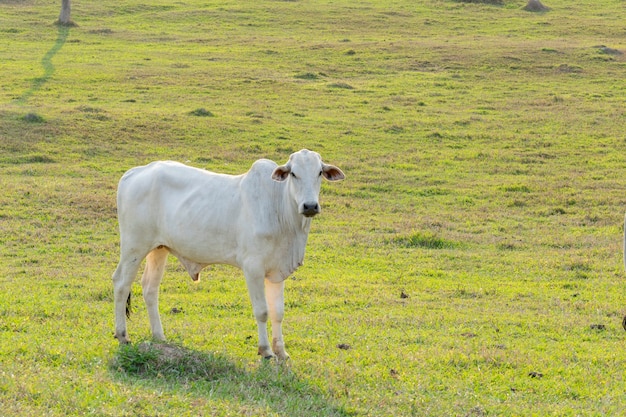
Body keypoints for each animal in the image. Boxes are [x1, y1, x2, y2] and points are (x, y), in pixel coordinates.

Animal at [114, 149, 344, 358]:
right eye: (294, 173)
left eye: (319, 172)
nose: (310, 205)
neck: (279, 209)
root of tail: (135, 172)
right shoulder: (253, 268)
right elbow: (262, 311)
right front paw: (266, 350)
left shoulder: (277, 271)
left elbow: (278, 312)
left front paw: (281, 352)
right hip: (134, 246)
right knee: (121, 284)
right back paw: (122, 335)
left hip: (159, 249)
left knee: (150, 289)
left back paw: (159, 337)